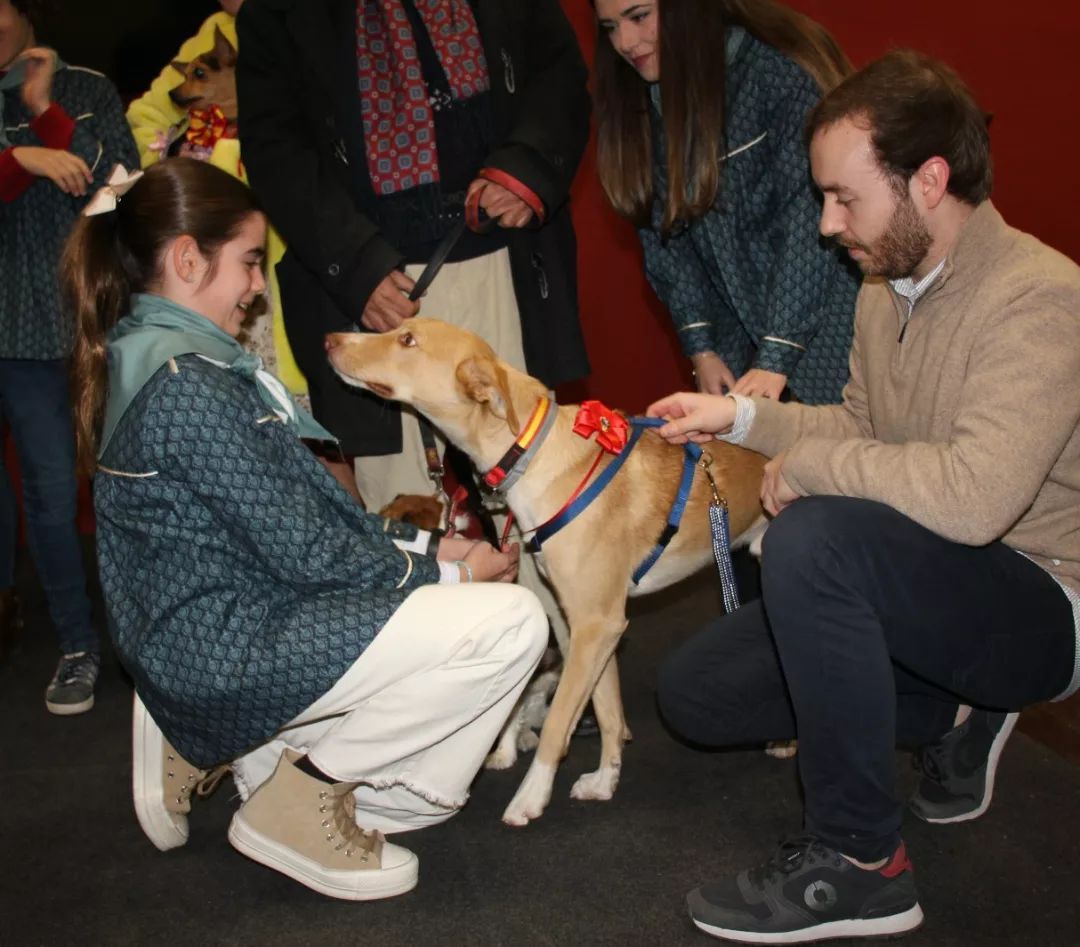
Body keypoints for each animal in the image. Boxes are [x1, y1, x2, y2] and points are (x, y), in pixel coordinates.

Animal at [324, 317, 764, 820]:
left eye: (407, 340)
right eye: (398, 328)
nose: (329, 341)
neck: (531, 453)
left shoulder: (597, 623)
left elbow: (557, 723)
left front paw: (531, 796)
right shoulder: (592, 626)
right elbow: (608, 712)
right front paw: (605, 781)